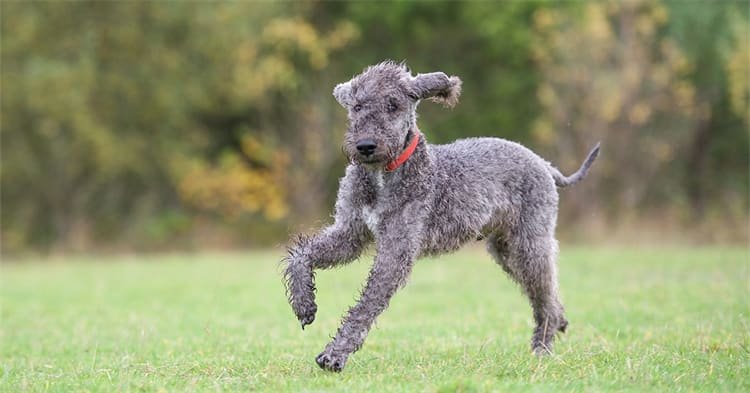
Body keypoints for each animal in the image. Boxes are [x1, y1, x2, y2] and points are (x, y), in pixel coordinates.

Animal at [284, 60, 604, 370]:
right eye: (358, 106)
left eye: (393, 105)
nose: (365, 146)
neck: (384, 175)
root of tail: (543, 163)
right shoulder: (349, 234)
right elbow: (303, 254)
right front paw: (304, 304)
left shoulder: (395, 251)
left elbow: (365, 306)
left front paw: (335, 355)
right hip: (506, 250)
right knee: (547, 293)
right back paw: (559, 324)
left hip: (529, 244)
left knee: (545, 295)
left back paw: (542, 348)